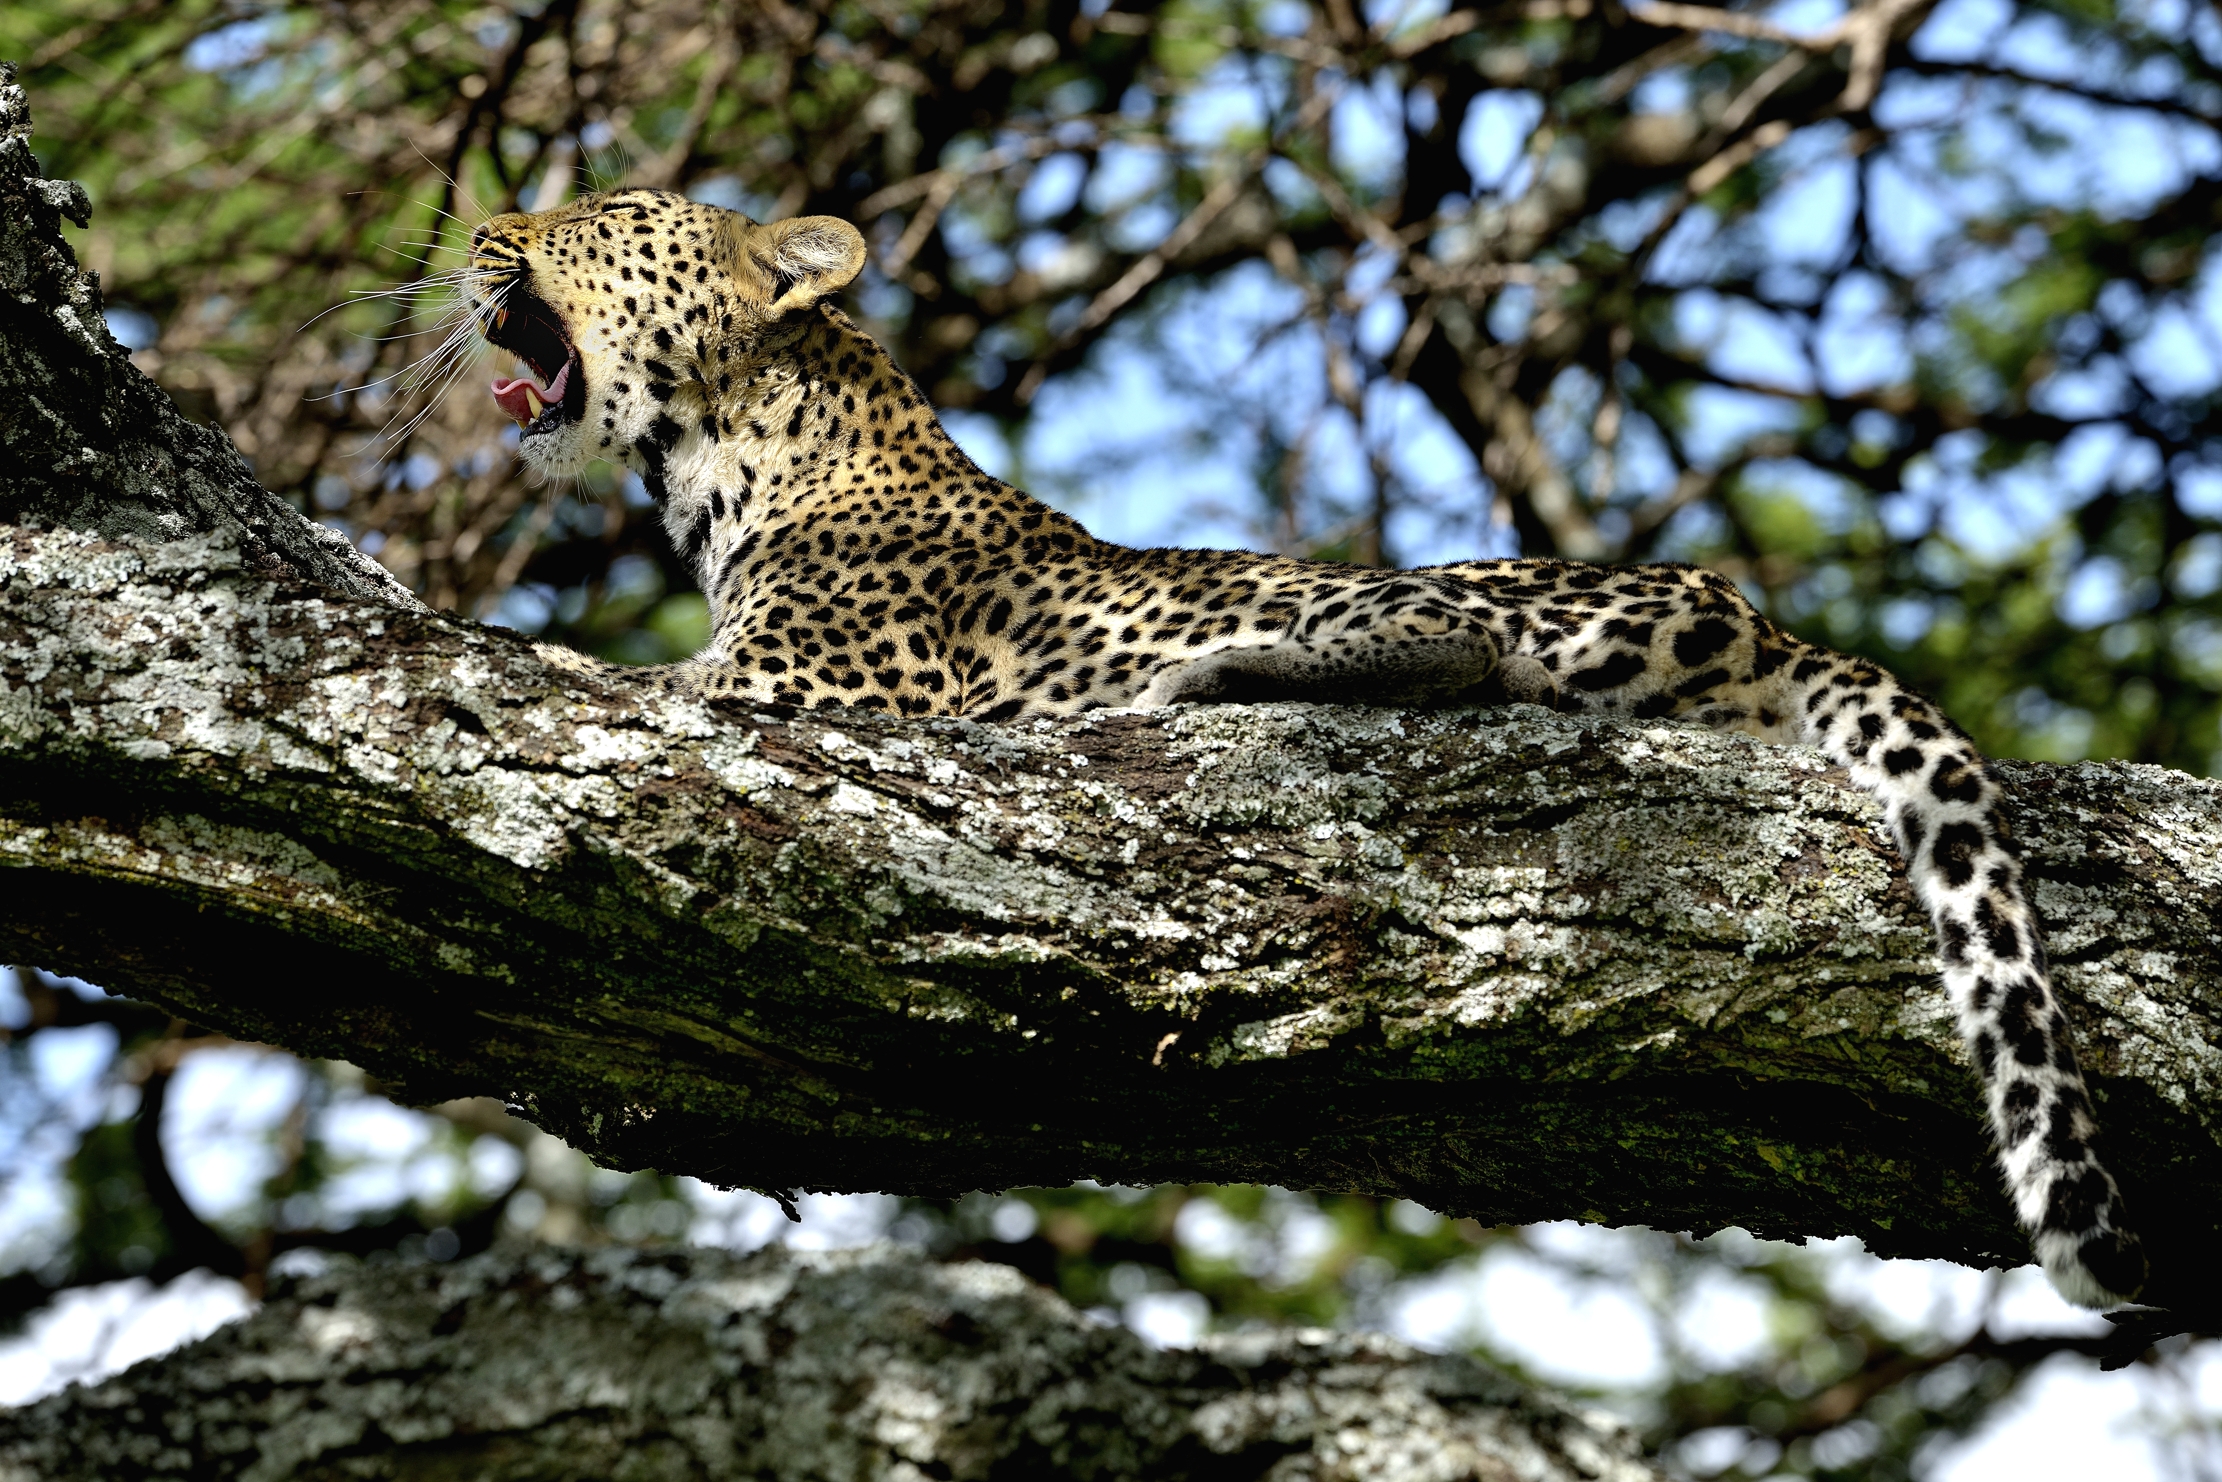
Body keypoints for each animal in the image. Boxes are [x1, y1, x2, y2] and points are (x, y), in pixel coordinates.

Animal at [463, 186, 2145, 1308]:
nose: (481, 228)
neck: (735, 456)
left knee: (1456, 645)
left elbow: (608, 673)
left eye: (603, 213)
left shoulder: (810, 677)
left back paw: (1212, 675)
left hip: (1458, 585)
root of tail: (1754, 617)